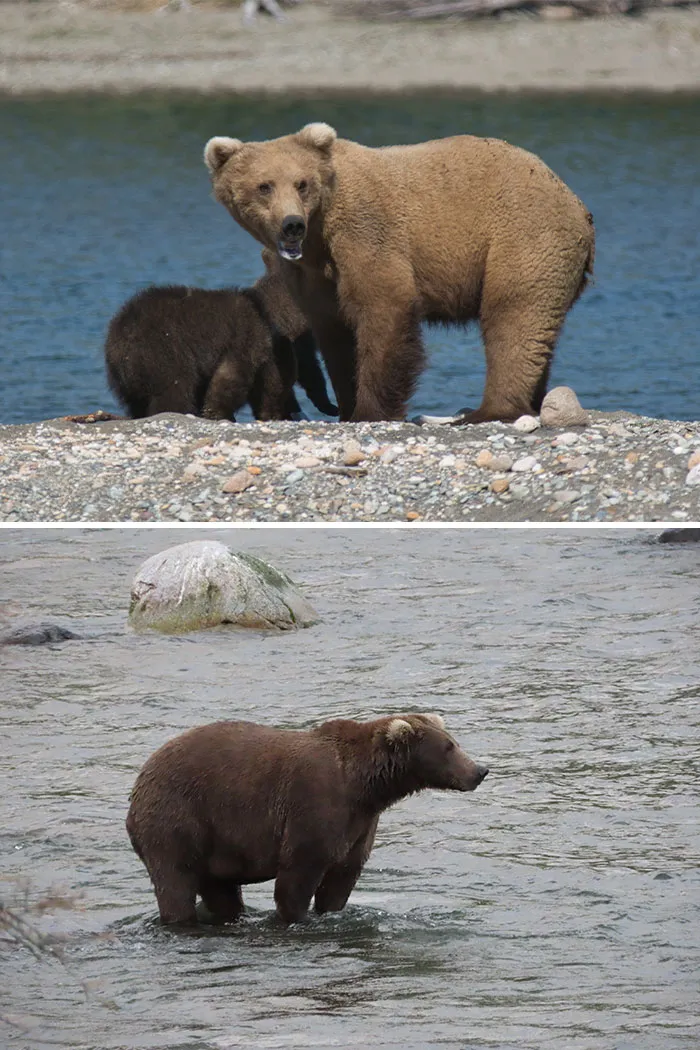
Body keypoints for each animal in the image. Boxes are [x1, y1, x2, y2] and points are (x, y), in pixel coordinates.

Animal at [104, 250, 337, 422]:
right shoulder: (248, 337)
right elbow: (233, 376)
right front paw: (220, 414)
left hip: (124, 376)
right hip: (163, 352)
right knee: (175, 390)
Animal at [126, 713, 489, 926]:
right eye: (448, 747)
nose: (479, 770)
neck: (364, 786)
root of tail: (140, 778)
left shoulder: (359, 824)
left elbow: (342, 877)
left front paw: (331, 909)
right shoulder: (315, 805)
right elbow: (299, 873)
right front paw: (296, 916)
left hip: (215, 844)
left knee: (220, 889)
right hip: (178, 819)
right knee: (175, 880)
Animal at [204, 123, 595, 424]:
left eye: (302, 183)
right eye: (264, 185)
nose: (291, 224)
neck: (320, 233)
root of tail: (575, 202)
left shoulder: (365, 233)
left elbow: (384, 307)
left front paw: (370, 410)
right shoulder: (312, 274)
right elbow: (336, 332)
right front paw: (347, 404)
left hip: (523, 236)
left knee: (512, 316)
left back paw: (489, 410)